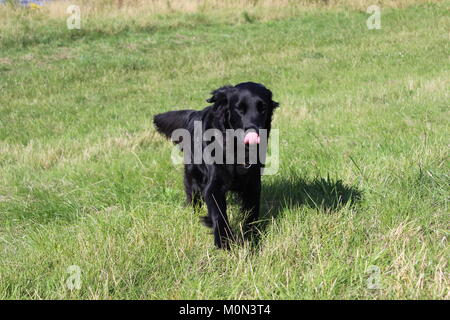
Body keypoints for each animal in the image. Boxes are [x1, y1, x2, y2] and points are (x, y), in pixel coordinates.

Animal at [154, 81, 278, 249]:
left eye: (263, 108)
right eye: (239, 108)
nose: (254, 131)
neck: (236, 148)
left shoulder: (253, 185)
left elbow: (251, 214)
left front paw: (251, 238)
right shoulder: (213, 186)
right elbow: (219, 214)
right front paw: (224, 241)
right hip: (193, 176)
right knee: (193, 197)